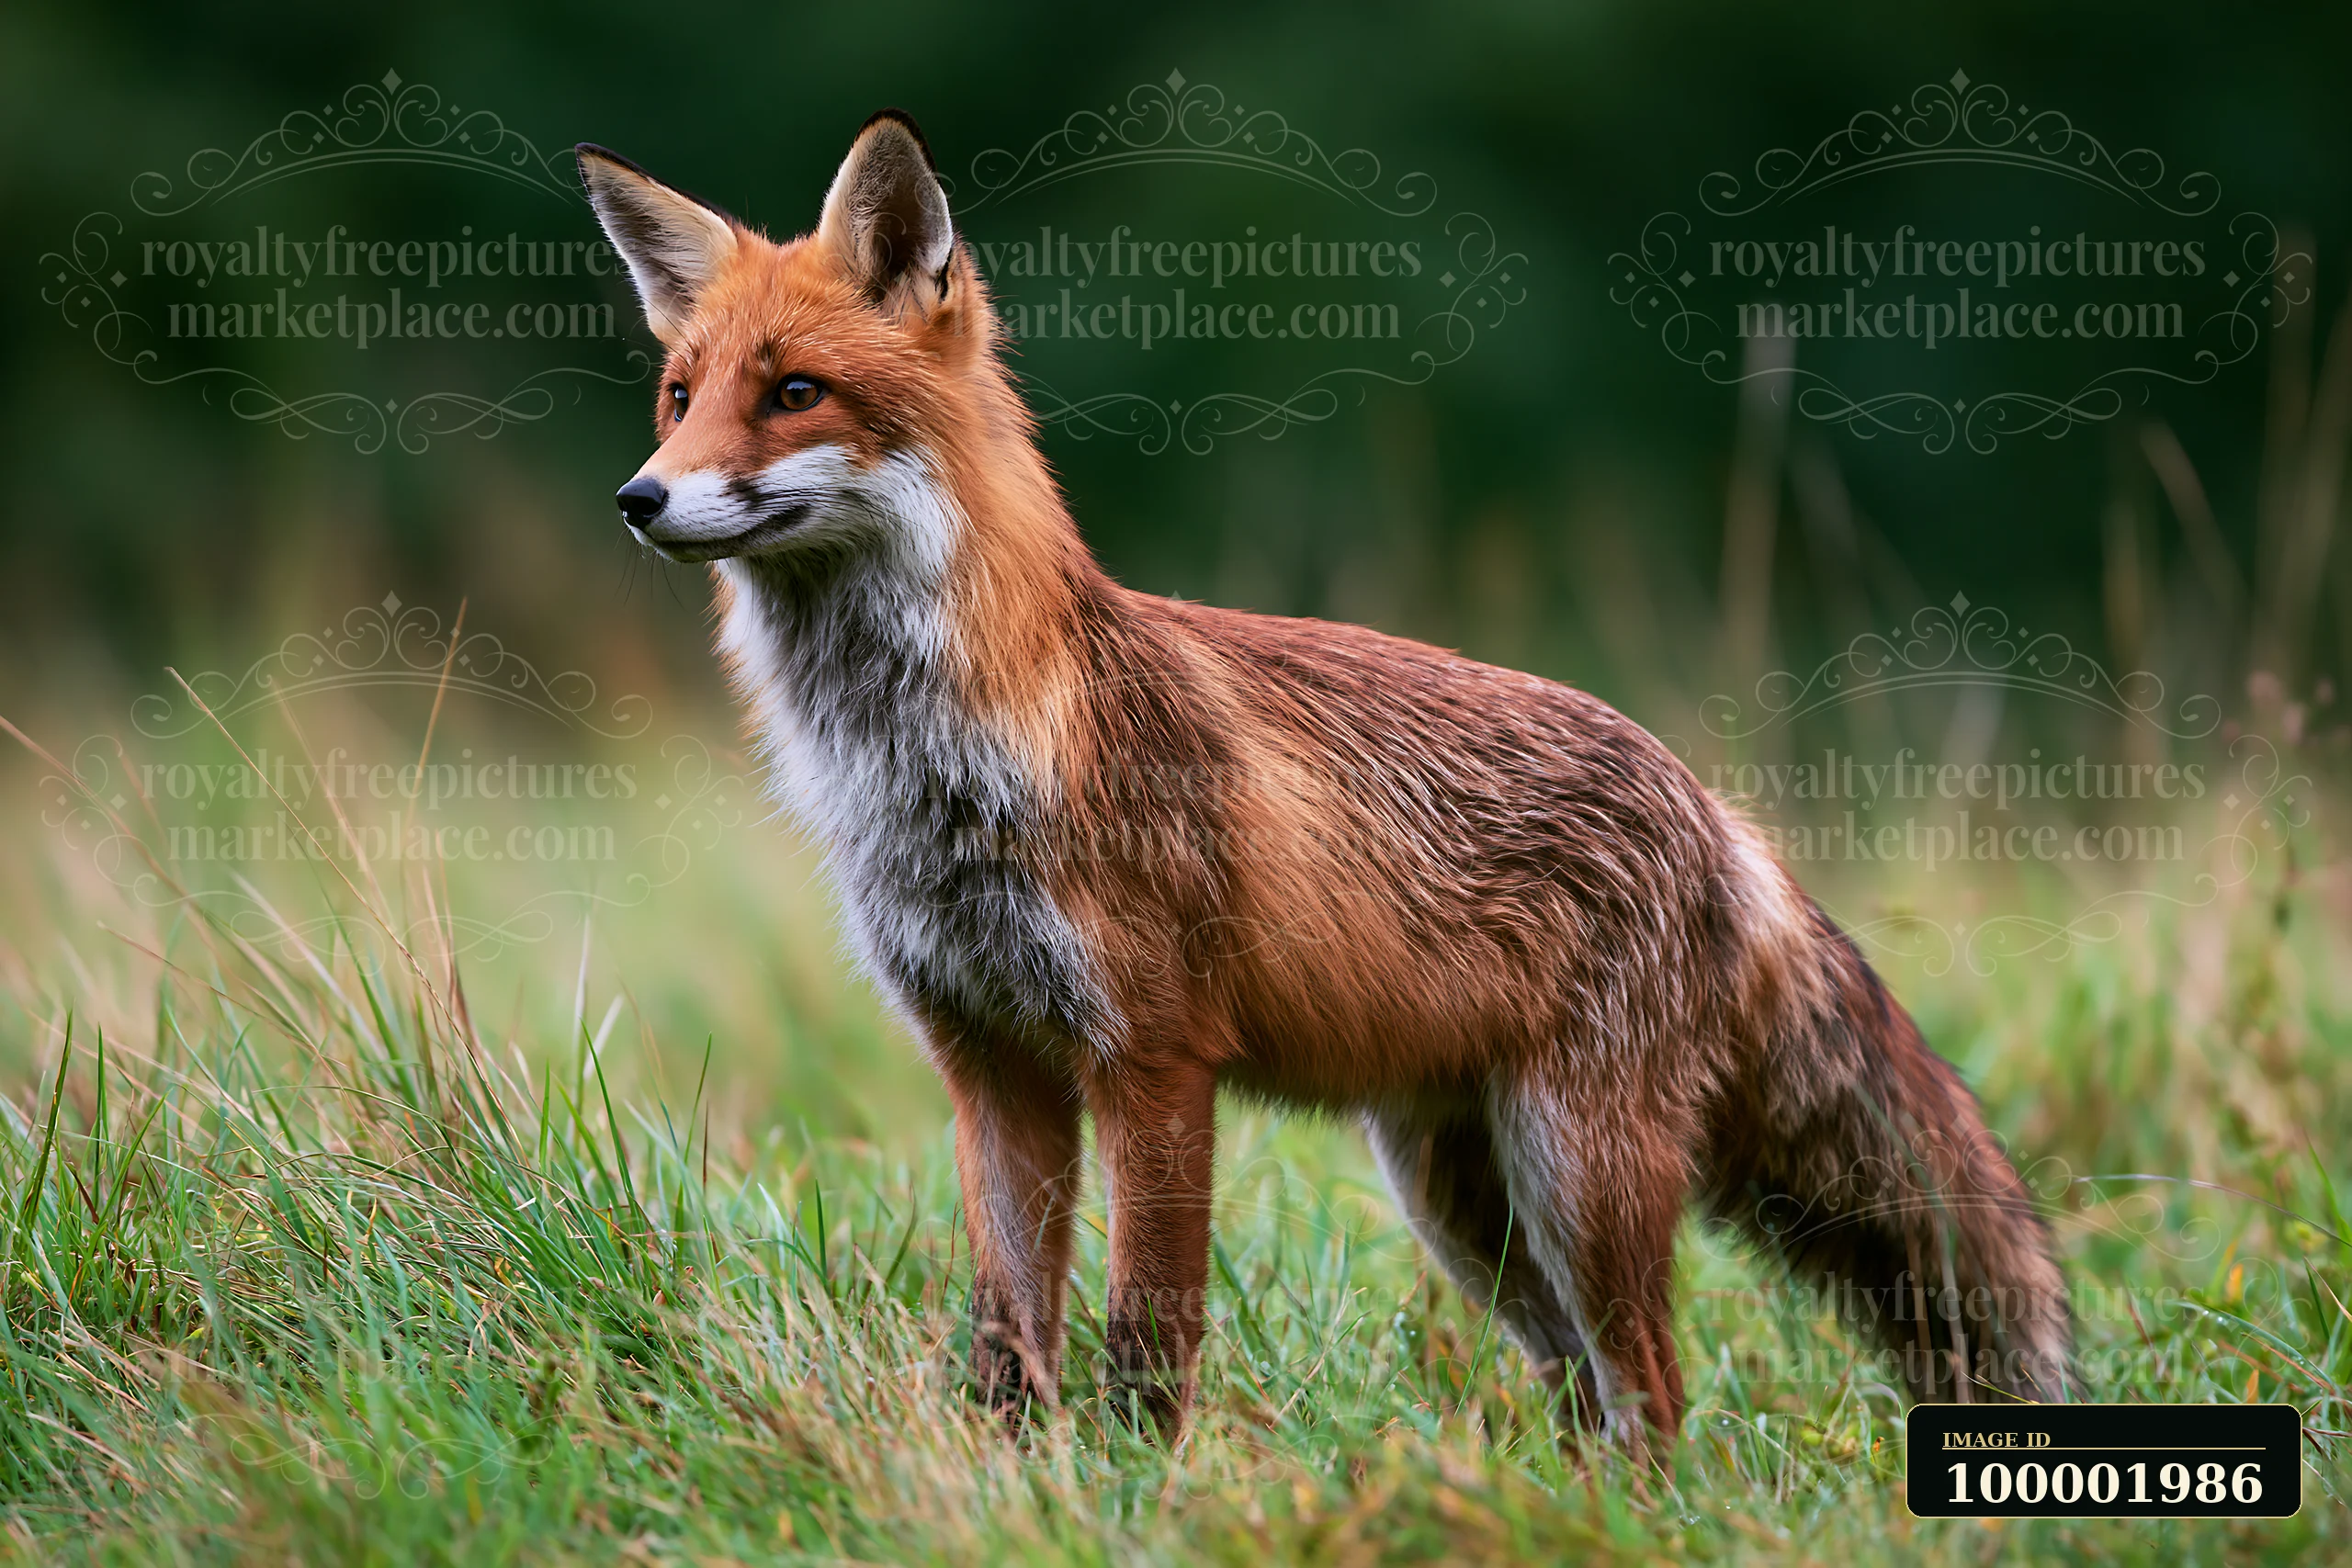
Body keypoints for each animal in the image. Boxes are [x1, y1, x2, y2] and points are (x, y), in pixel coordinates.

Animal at [575, 111, 2072, 1447]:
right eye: (679, 395)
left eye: (794, 392)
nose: (639, 498)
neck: (937, 765)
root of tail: (1717, 811)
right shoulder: (991, 1066)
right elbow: (1006, 1344)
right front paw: (1010, 1485)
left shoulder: (1154, 1057)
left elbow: (1145, 1338)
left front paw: (1137, 1496)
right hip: (1460, 1203)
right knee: (1586, 1395)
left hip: (1576, 1178)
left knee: (1654, 1390)